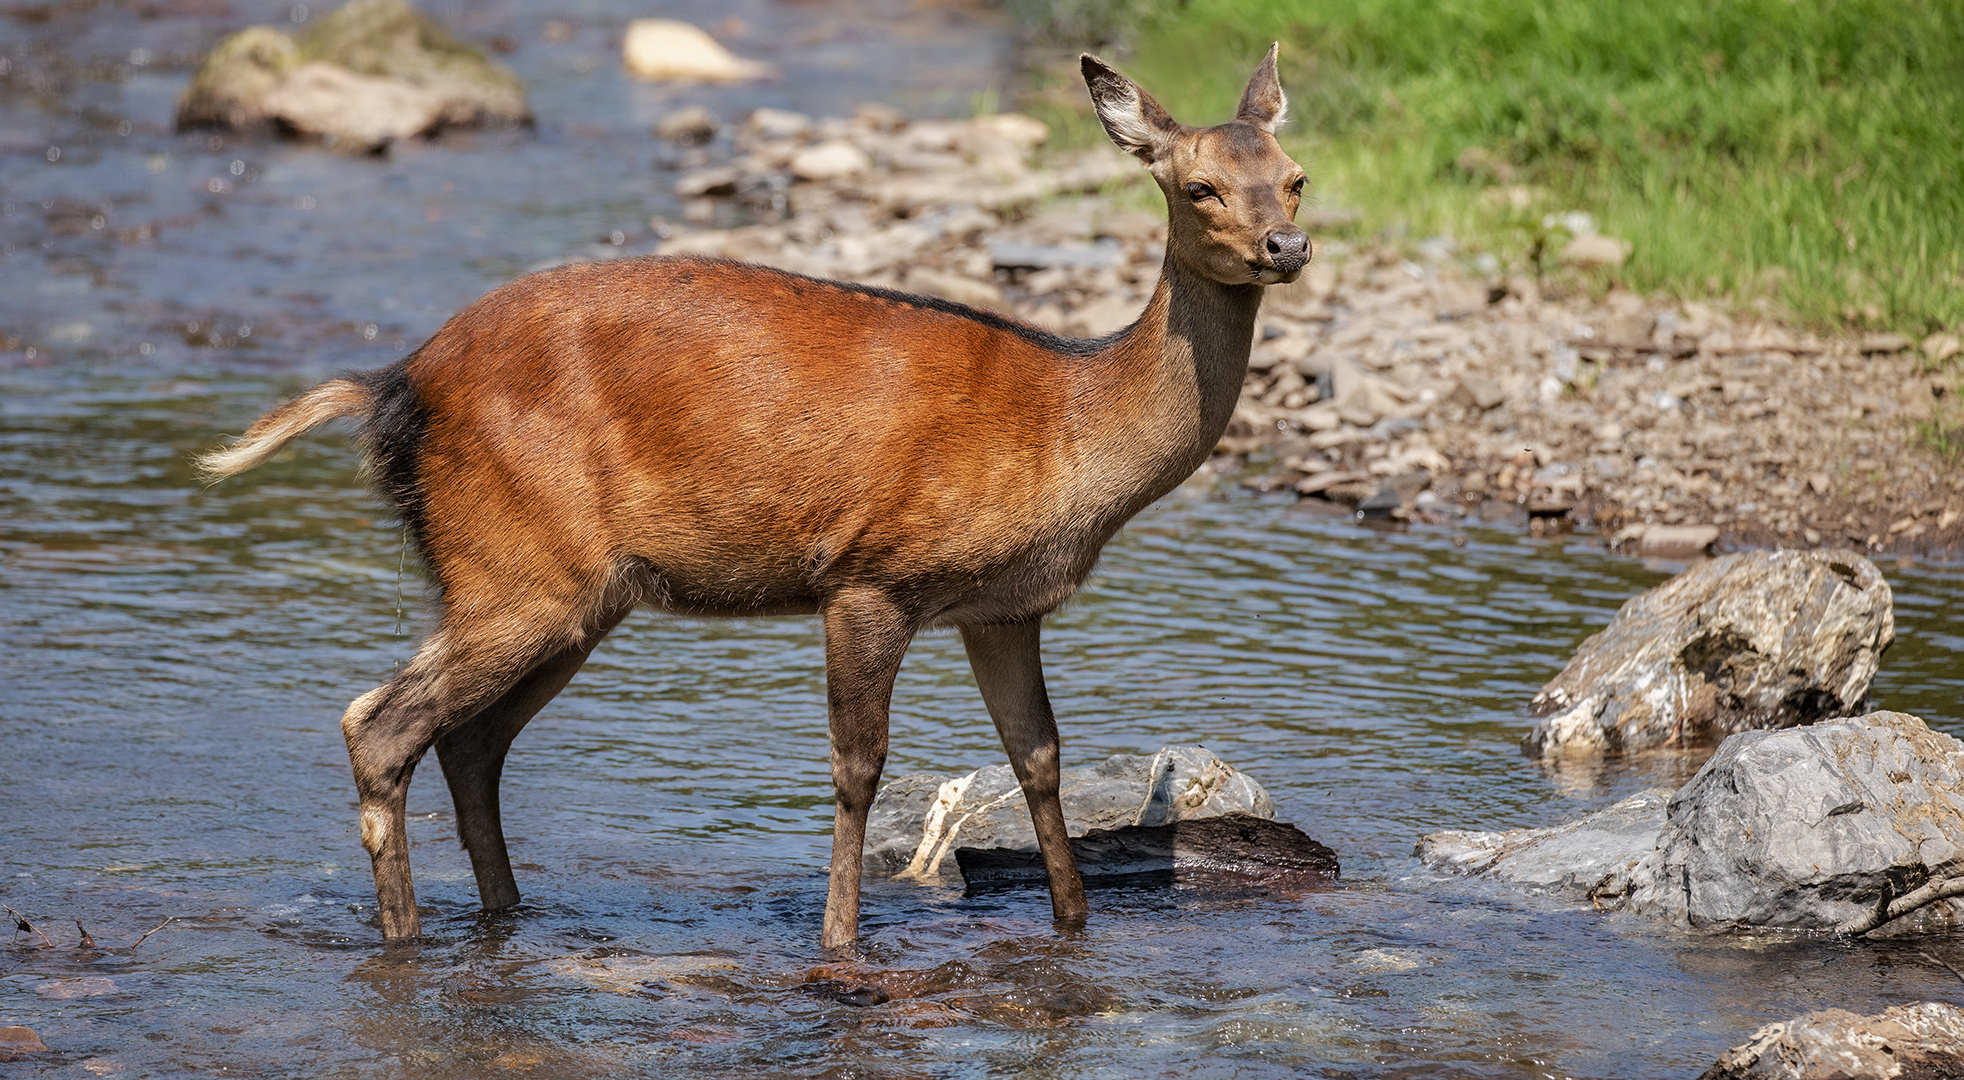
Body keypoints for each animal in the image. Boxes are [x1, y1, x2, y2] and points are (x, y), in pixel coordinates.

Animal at [199, 48, 1311, 958]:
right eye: (1199, 186)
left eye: (1296, 177)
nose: (1285, 247)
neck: (1070, 434)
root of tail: (392, 384)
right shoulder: (871, 575)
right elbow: (858, 767)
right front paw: (839, 943)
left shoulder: (1001, 606)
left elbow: (1037, 759)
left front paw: (1074, 928)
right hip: (512, 561)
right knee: (379, 723)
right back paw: (403, 939)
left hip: (564, 590)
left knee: (470, 741)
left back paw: (506, 916)